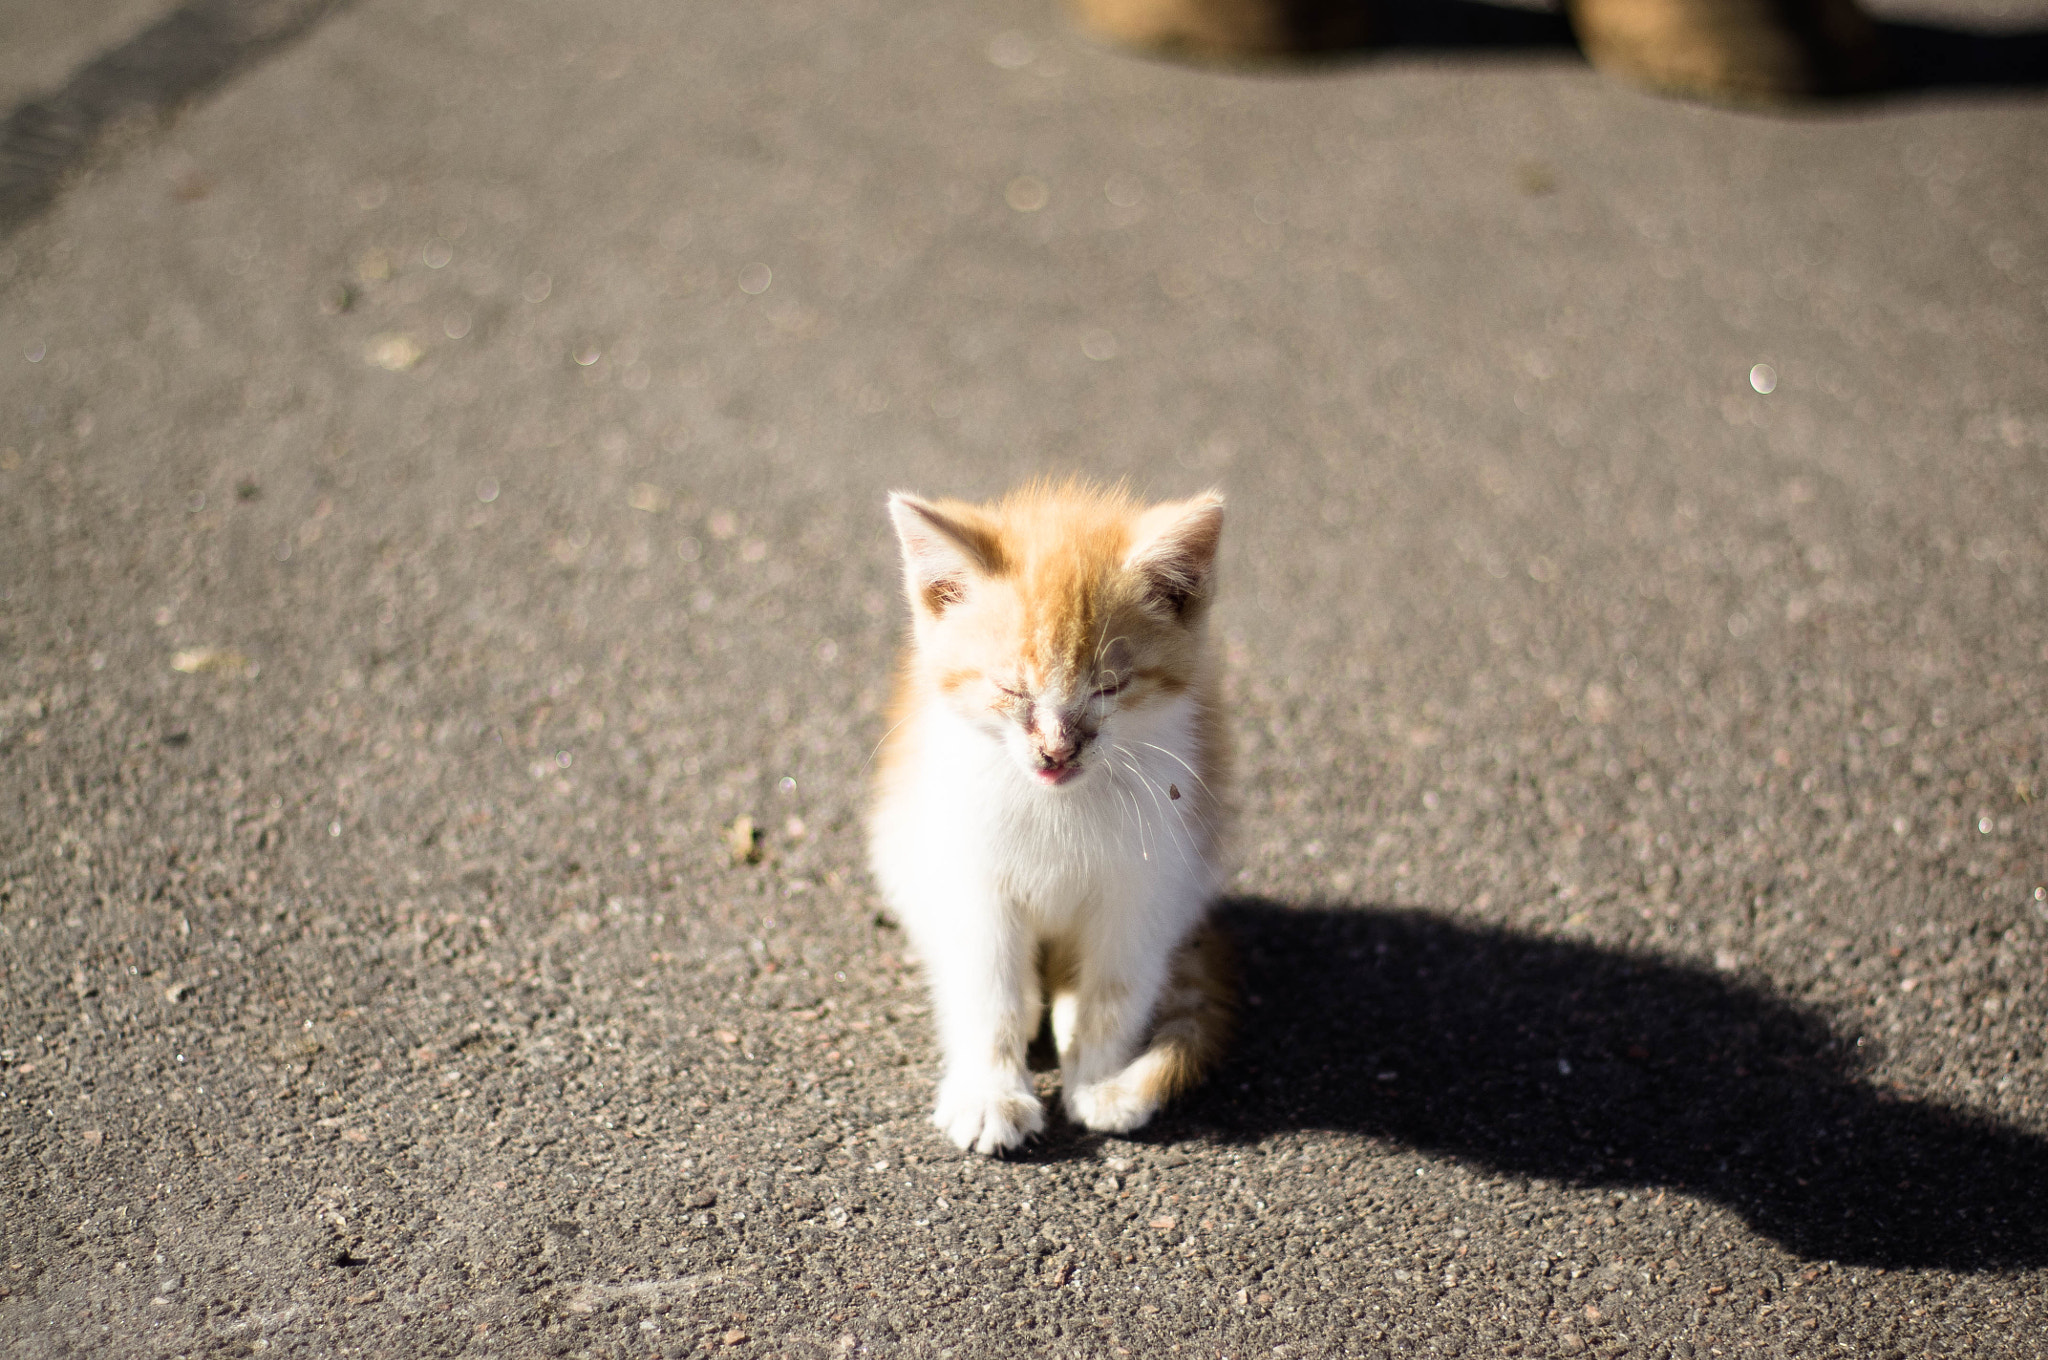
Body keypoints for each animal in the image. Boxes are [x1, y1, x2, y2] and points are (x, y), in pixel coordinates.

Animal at [864, 483, 1228, 1155]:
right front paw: (992, 1093)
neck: (1058, 806)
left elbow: (1114, 990)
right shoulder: (972, 880)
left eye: (1109, 687)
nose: (1057, 751)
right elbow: (989, 991)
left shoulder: (1149, 884)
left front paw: (1102, 1081)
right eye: (1012, 689)